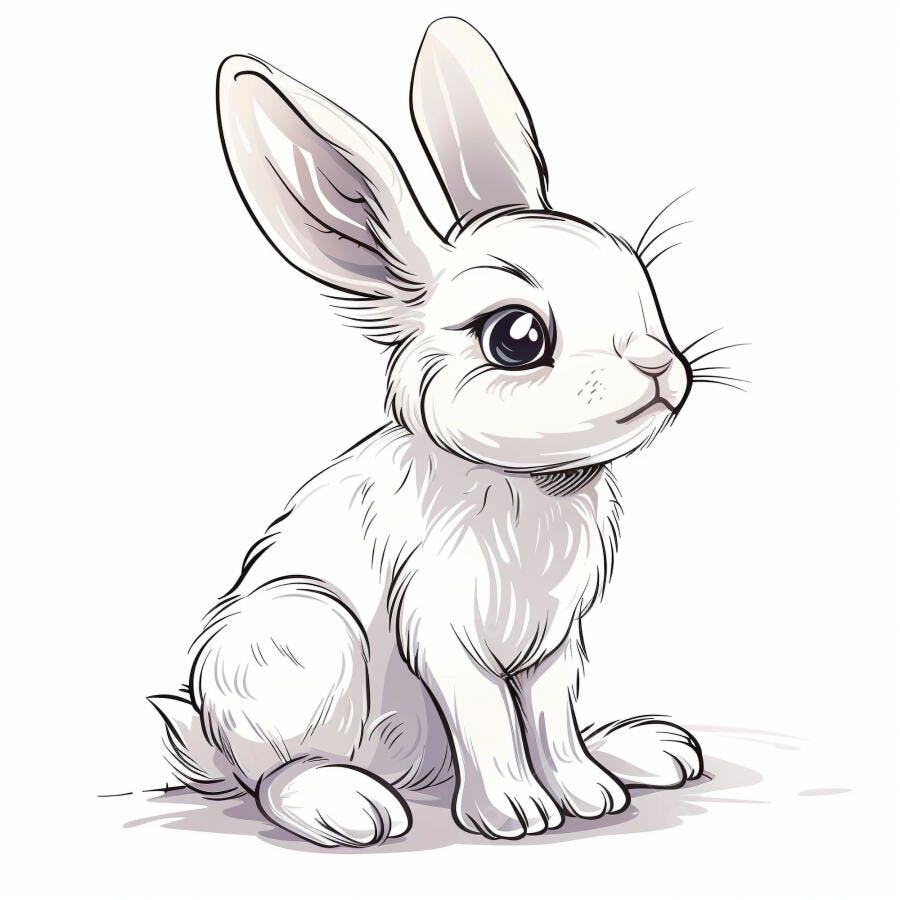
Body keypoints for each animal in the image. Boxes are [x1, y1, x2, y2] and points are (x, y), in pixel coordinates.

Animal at [149, 17, 704, 847]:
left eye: (638, 278)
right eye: (517, 337)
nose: (661, 368)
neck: (527, 485)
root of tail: (204, 742)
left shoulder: (556, 644)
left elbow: (551, 722)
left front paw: (588, 793)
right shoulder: (444, 631)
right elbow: (488, 719)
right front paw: (517, 814)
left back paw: (645, 749)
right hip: (304, 641)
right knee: (273, 776)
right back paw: (350, 806)